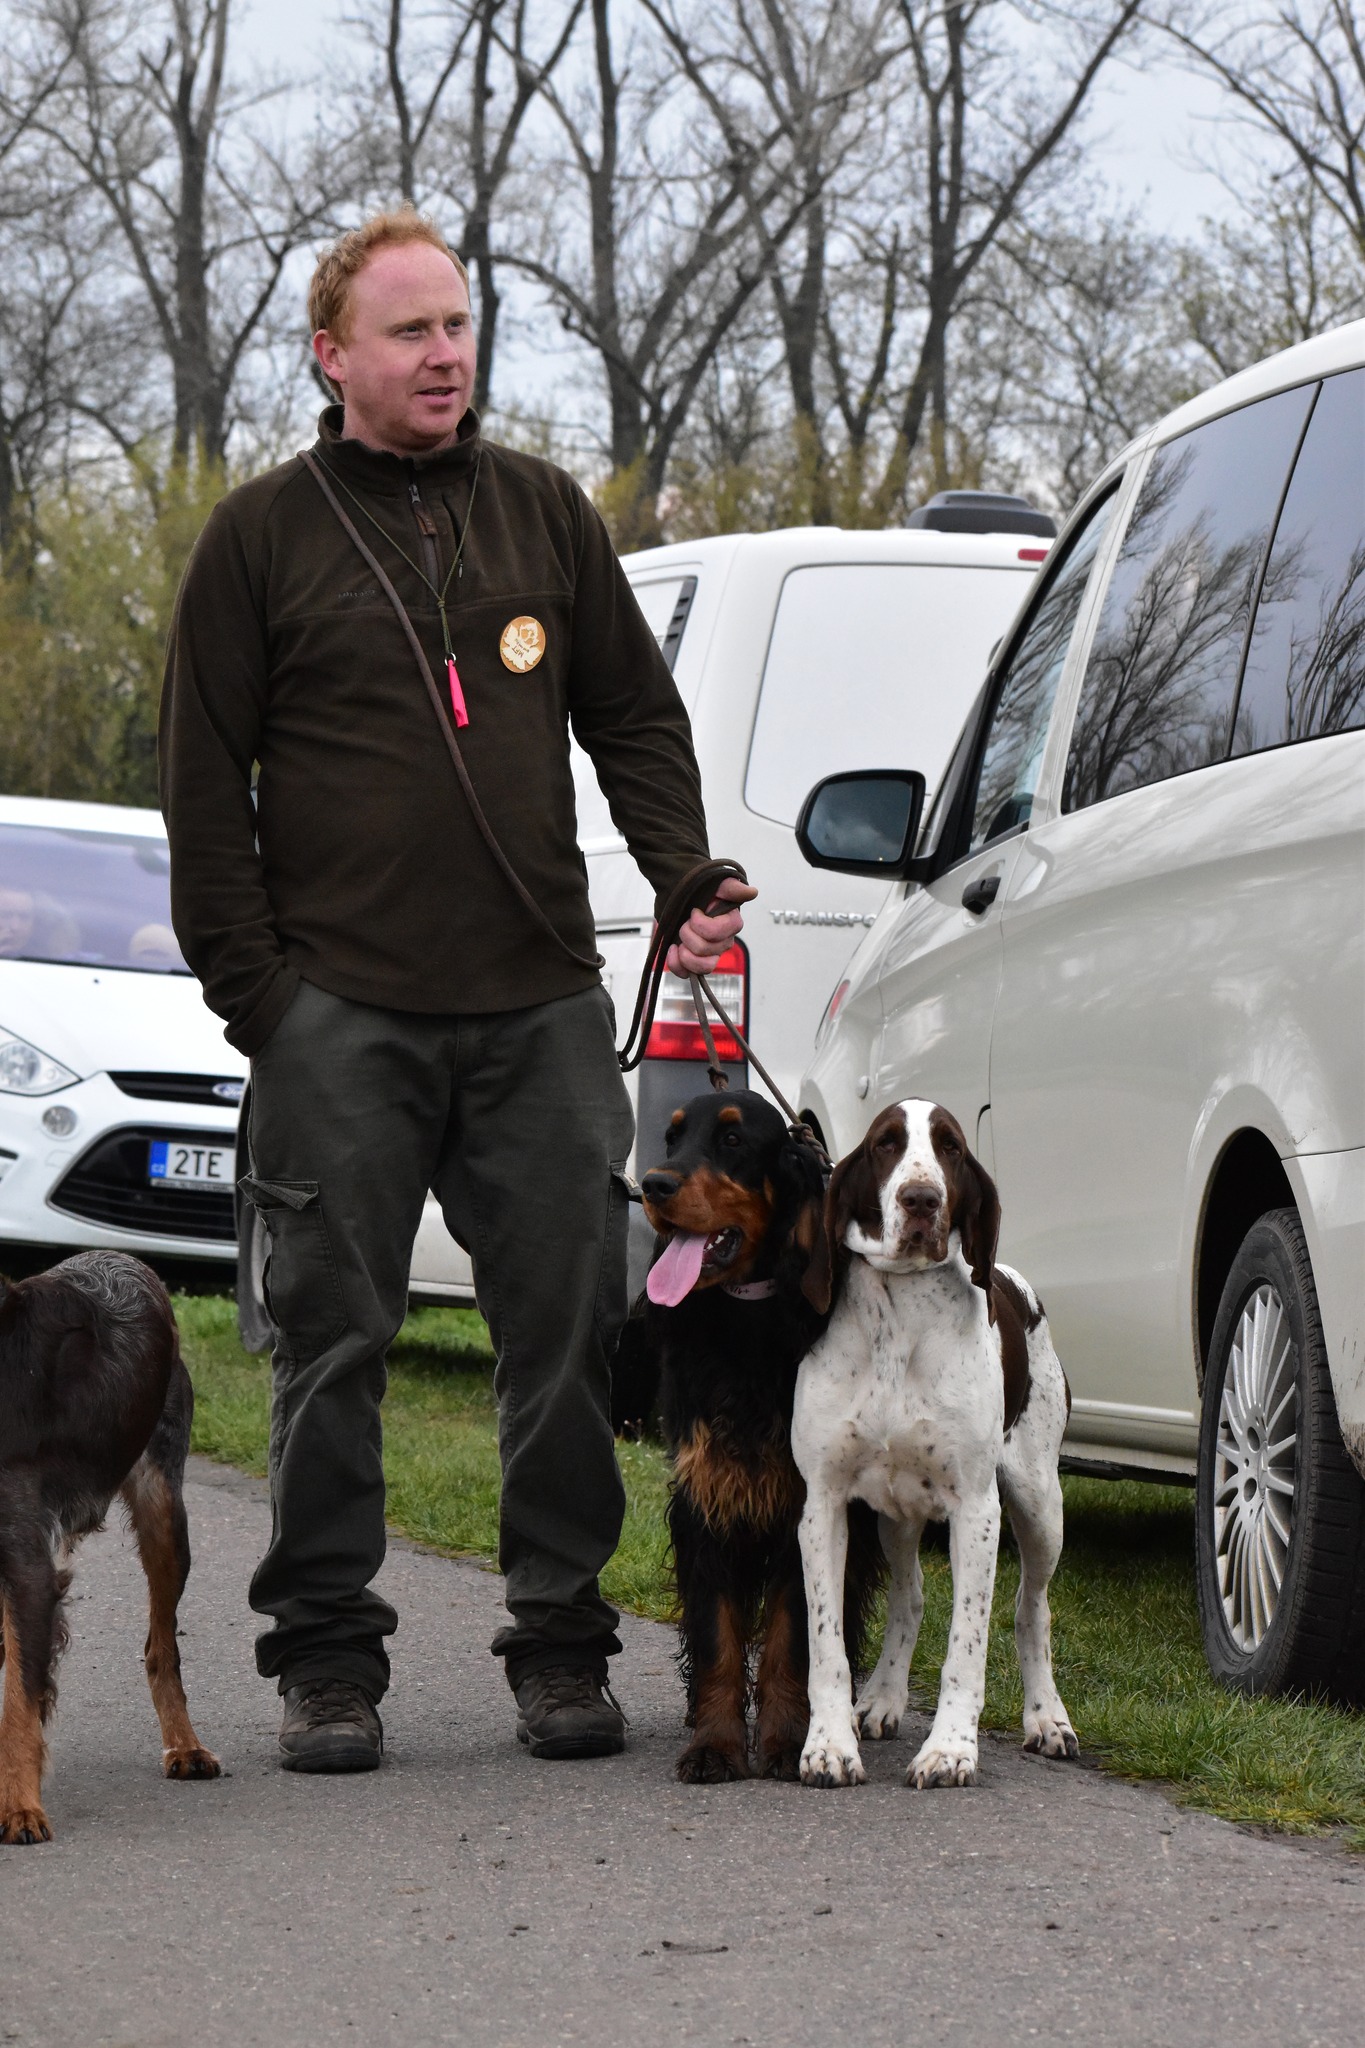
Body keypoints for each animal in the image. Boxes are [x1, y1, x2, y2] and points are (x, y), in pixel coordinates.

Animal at [0, 1251, 219, 1844]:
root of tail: (126, 1258)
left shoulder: (26, 1566)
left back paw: (185, 1747)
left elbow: (19, 1703)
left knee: (161, 1647)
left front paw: (20, 1808)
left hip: (164, 1511)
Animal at [637, 1087, 883, 1782]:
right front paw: (714, 1745)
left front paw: (788, 1739)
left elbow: (790, 1635)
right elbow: (718, 1638)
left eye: (733, 1141)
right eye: (671, 1137)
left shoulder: (811, 1505)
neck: (747, 1322)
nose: (652, 1184)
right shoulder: (705, 1499)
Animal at [792, 1099, 1078, 1790]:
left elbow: (965, 1649)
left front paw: (950, 1750)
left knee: (1032, 1608)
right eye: (886, 1145)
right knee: (911, 1595)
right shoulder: (823, 1505)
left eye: (950, 1147)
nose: (921, 1199)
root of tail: (1016, 1279)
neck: (900, 1313)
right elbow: (827, 1644)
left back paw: (1047, 1718)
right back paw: (883, 1697)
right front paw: (829, 1745)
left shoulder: (976, 1510)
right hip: (896, 1515)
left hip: (1039, 1504)